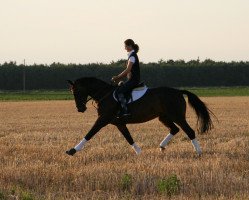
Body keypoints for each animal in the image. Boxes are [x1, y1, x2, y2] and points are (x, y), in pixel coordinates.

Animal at [65, 76, 213, 156]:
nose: (80, 109)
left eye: (77, 92)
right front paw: (139, 152)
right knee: (174, 129)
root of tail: (178, 92)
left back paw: (198, 152)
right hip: (163, 117)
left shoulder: (103, 119)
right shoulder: (119, 123)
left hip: (177, 116)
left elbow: (90, 133)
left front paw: (73, 150)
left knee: (189, 131)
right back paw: (162, 146)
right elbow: (128, 138)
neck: (104, 95)